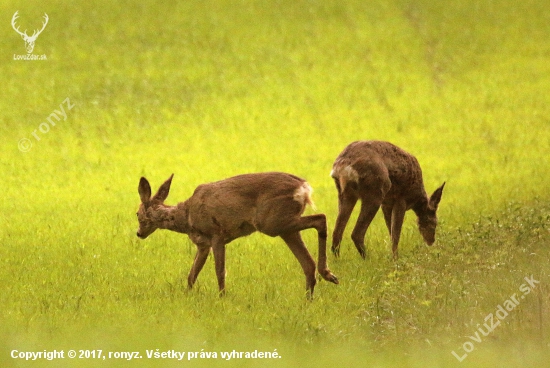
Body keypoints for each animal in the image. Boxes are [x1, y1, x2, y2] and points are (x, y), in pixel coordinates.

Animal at [136, 172, 338, 300]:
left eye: (137, 214)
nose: (139, 233)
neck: (187, 216)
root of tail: (304, 188)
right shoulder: (203, 244)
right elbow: (192, 274)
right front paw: (188, 296)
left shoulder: (217, 234)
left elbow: (219, 270)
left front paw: (222, 298)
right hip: (284, 227)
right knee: (308, 263)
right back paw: (310, 298)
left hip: (272, 223)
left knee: (321, 218)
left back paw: (328, 275)